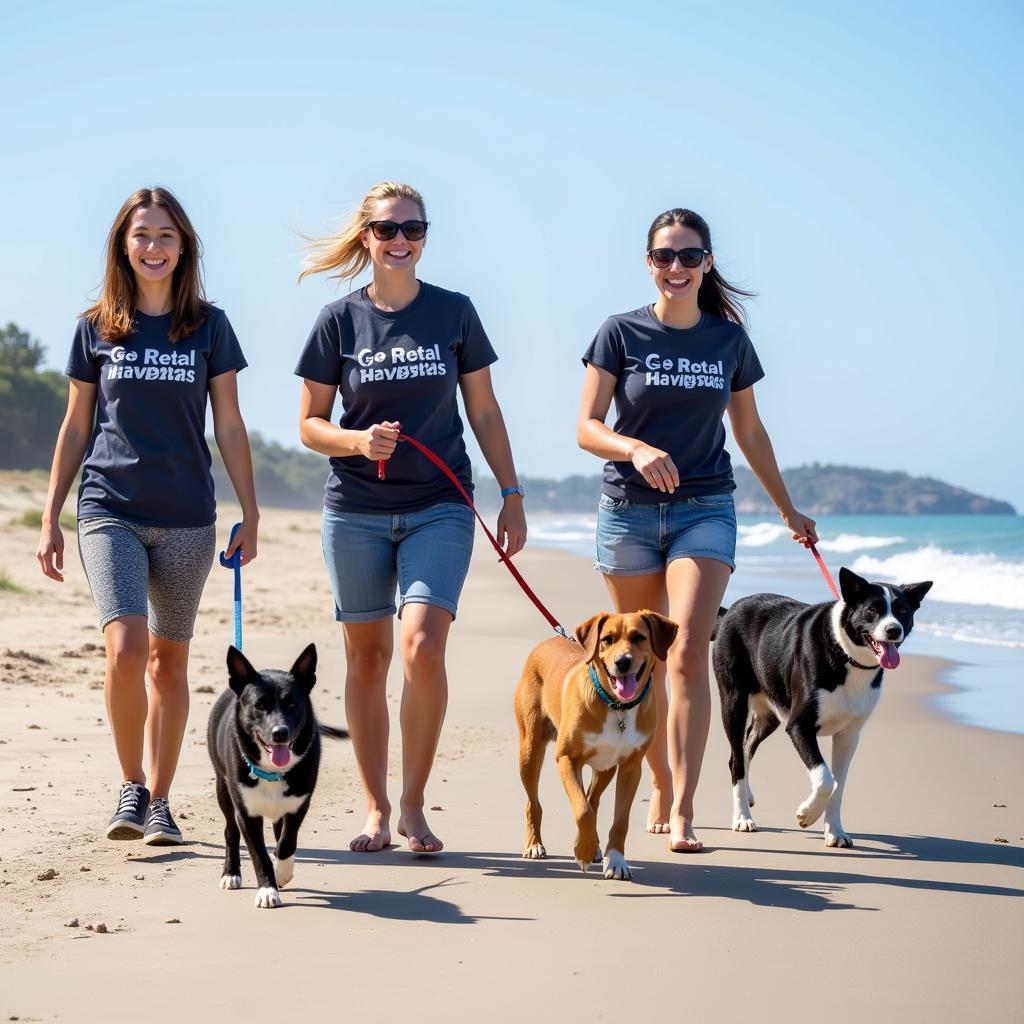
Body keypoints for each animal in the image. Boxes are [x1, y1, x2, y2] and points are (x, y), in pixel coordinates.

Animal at [206, 643, 348, 909]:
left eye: (292, 705)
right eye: (259, 706)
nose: (279, 732)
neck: (272, 772)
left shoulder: (299, 804)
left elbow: (286, 842)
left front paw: (282, 872)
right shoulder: (247, 814)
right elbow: (258, 854)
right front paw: (267, 890)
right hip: (222, 786)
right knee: (230, 831)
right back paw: (231, 873)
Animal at [512, 606, 679, 880]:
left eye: (639, 637)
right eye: (607, 639)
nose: (622, 662)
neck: (617, 708)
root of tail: (548, 641)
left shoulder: (631, 767)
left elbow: (618, 820)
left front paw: (615, 860)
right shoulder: (567, 759)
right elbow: (581, 810)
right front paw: (584, 850)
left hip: (605, 768)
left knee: (592, 799)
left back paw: (595, 845)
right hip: (529, 750)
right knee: (534, 803)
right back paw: (535, 844)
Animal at [716, 569, 933, 847]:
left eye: (902, 610)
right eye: (873, 609)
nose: (893, 630)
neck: (847, 655)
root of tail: (730, 610)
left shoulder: (848, 736)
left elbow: (838, 786)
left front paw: (836, 831)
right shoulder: (799, 726)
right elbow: (825, 779)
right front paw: (806, 815)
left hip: (770, 709)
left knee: (746, 747)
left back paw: (748, 796)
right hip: (734, 700)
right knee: (736, 759)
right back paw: (742, 817)